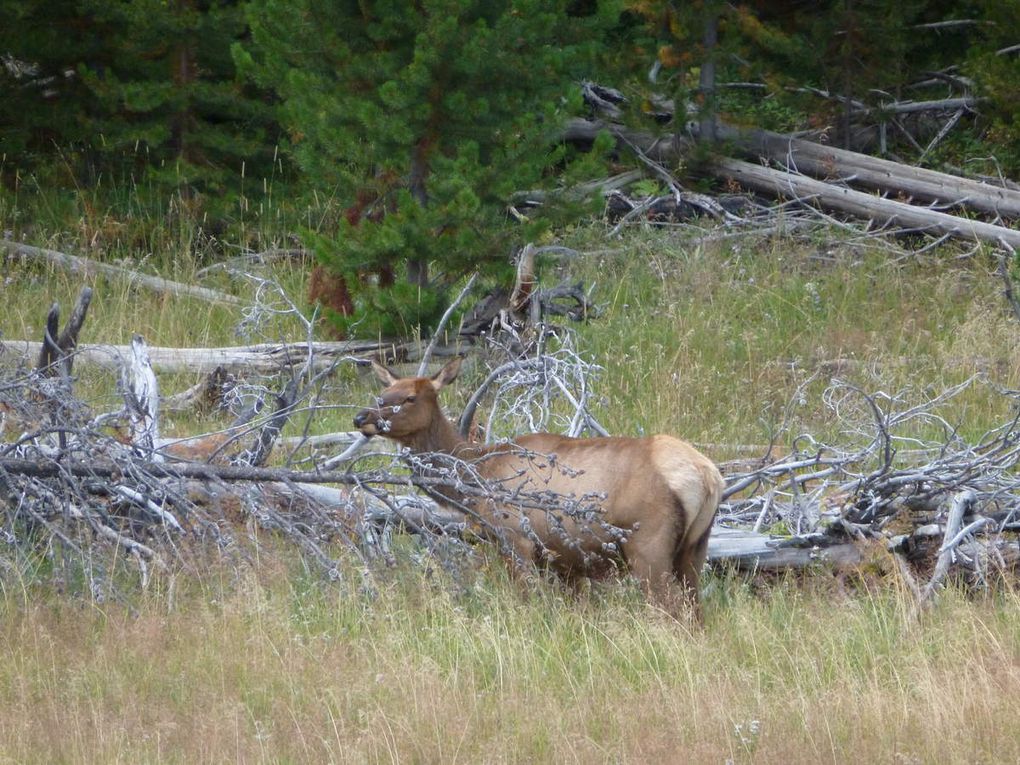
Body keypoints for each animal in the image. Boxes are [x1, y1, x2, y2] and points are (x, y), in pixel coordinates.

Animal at [354, 359, 722, 616]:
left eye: (409, 397)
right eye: (381, 395)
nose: (362, 418)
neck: (477, 478)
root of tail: (707, 475)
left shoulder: (515, 539)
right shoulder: (565, 561)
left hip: (648, 545)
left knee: (673, 611)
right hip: (694, 549)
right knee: (696, 611)